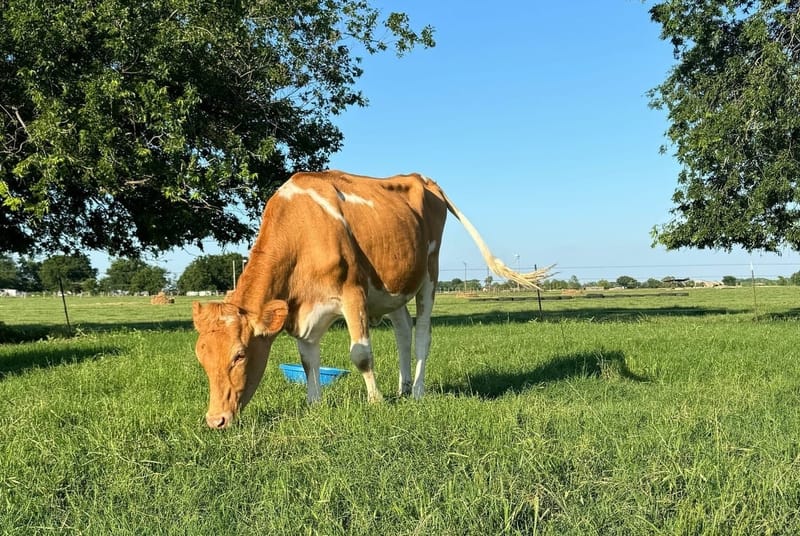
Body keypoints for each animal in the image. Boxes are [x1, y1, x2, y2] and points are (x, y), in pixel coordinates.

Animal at [192, 170, 552, 430]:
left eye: (240, 355)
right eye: (201, 356)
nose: (215, 420)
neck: (302, 228)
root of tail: (421, 177)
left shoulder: (353, 293)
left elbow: (361, 354)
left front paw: (376, 401)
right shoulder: (304, 312)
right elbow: (308, 360)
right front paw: (314, 403)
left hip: (429, 274)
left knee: (422, 335)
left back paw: (417, 391)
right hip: (394, 287)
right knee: (403, 330)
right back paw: (403, 387)